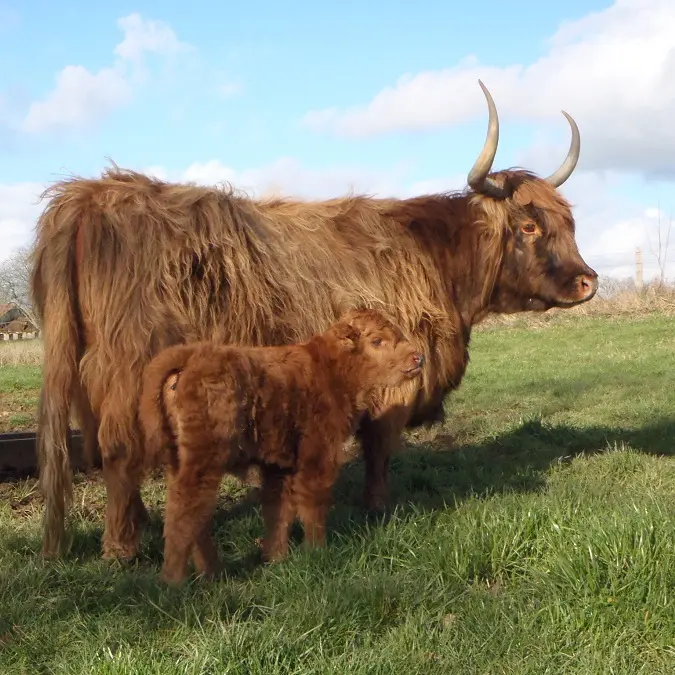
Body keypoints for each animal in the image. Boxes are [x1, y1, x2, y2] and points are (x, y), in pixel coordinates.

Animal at [137, 308, 422, 584]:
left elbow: (278, 509)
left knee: (196, 514)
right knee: (184, 512)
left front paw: (275, 558)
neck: (330, 369)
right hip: (203, 461)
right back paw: (173, 581)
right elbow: (312, 504)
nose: (417, 358)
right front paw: (317, 551)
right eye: (377, 340)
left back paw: (213, 572)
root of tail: (193, 357)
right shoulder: (317, 456)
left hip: (181, 461)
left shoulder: (279, 464)